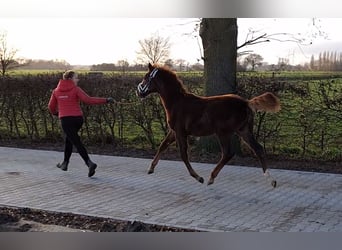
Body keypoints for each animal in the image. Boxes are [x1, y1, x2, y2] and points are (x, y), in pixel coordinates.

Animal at [136, 64, 280, 188]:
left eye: (145, 77)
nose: (138, 92)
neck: (177, 102)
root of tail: (245, 102)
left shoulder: (180, 131)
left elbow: (183, 154)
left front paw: (198, 177)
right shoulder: (173, 131)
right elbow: (162, 146)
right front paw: (151, 168)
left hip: (224, 133)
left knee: (228, 153)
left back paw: (211, 177)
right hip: (243, 131)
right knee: (258, 149)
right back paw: (271, 180)